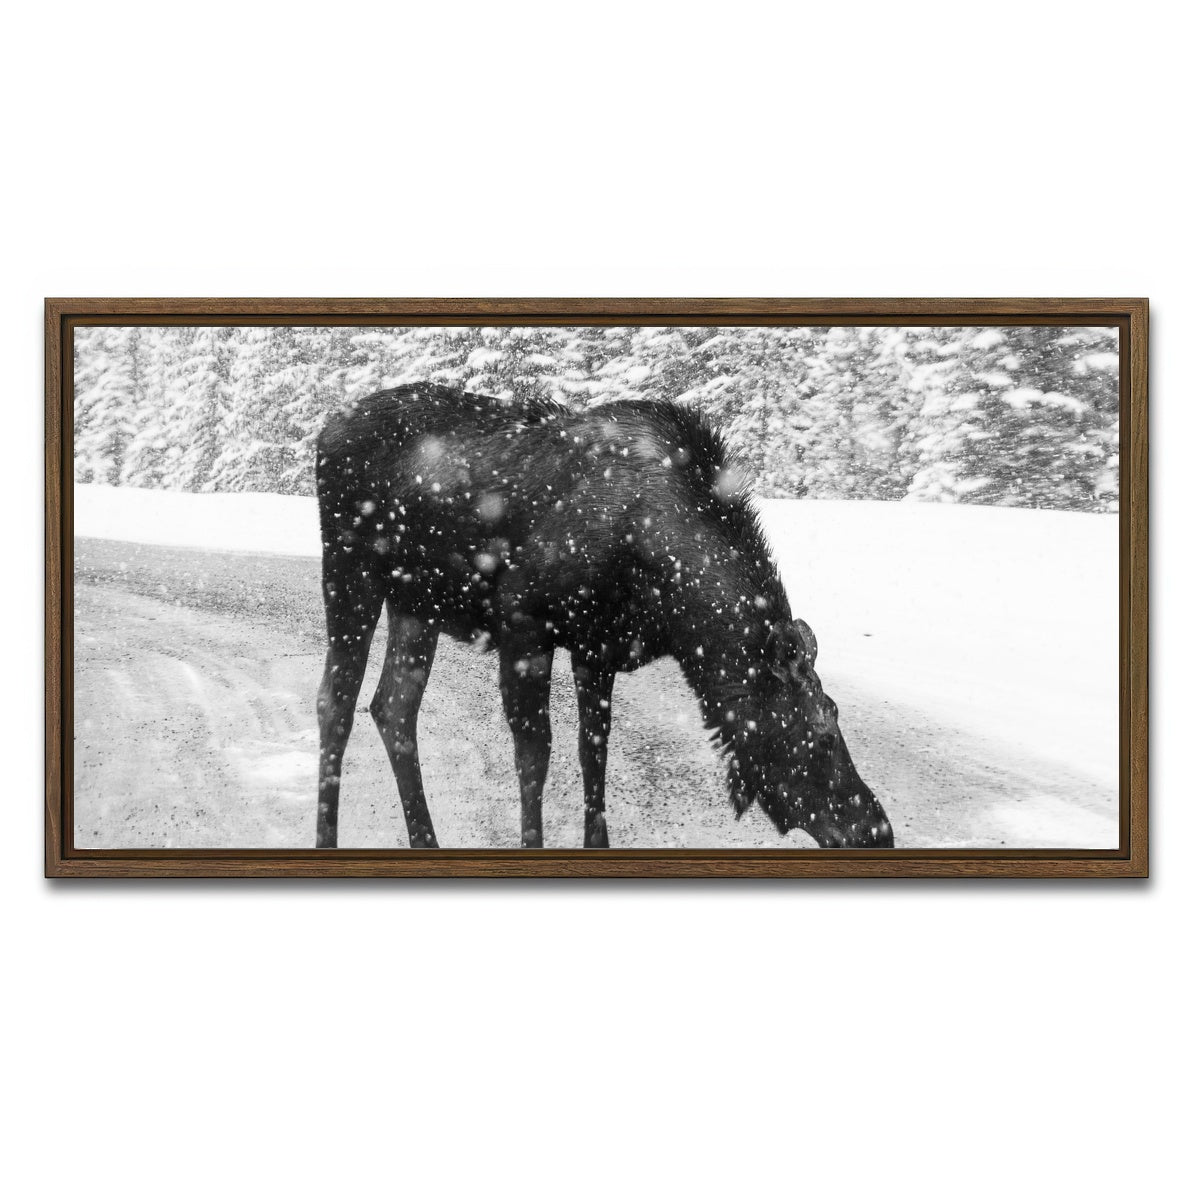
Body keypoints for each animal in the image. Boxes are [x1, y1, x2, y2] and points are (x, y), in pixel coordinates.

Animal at [315, 382, 893, 850]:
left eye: (836, 713)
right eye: (820, 731)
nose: (876, 830)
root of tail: (324, 430)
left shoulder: (597, 647)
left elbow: (593, 753)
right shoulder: (524, 624)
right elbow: (536, 754)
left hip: (416, 604)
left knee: (393, 707)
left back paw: (425, 839)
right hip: (350, 572)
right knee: (336, 703)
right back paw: (327, 838)